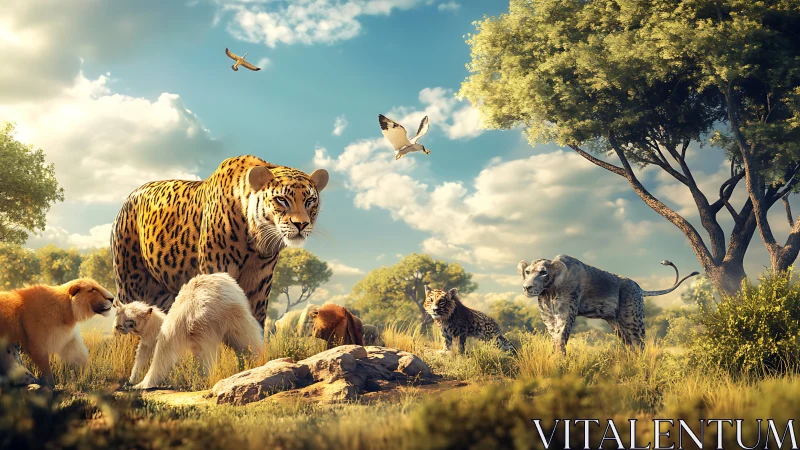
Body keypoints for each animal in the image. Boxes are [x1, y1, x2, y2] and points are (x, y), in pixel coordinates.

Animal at [111, 155, 329, 326]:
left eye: (310, 201)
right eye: (282, 200)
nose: (301, 224)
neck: (254, 242)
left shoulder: (259, 283)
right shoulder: (217, 271)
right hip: (130, 282)